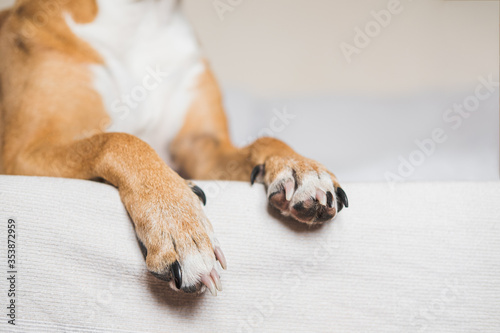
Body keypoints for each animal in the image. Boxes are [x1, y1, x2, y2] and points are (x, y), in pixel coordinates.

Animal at [0, 0, 350, 296]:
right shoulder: (20, 155)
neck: (140, 16)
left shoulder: (202, 150)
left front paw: (301, 167)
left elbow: (263, 140)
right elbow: (118, 139)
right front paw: (180, 227)